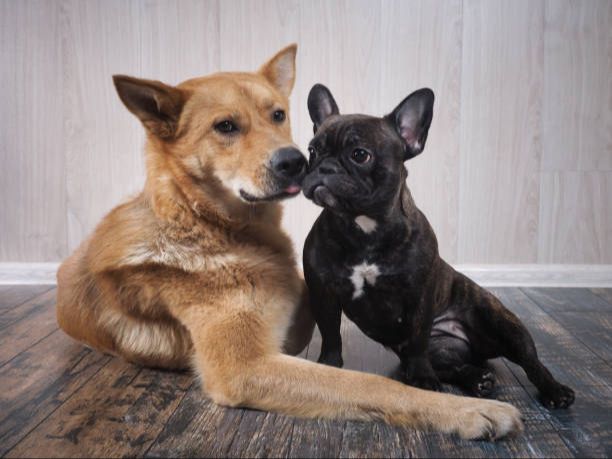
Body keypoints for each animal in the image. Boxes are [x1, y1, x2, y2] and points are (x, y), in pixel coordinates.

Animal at [56, 45, 520, 440]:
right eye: (225, 126)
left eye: (278, 114)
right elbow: (365, 384)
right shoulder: (246, 365)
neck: (207, 225)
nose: (297, 161)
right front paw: (466, 411)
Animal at [304, 83, 576, 410]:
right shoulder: (323, 292)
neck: (364, 227)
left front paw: (422, 379)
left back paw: (554, 390)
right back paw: (477, 379)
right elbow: (331, 334)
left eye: (360, 155)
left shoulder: (420, 294)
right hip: (443, 351)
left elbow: (418, 337)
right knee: (454, 366)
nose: (324, 167)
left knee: (531, 361)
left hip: (504, 324)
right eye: (312, 151)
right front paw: (327, 368)